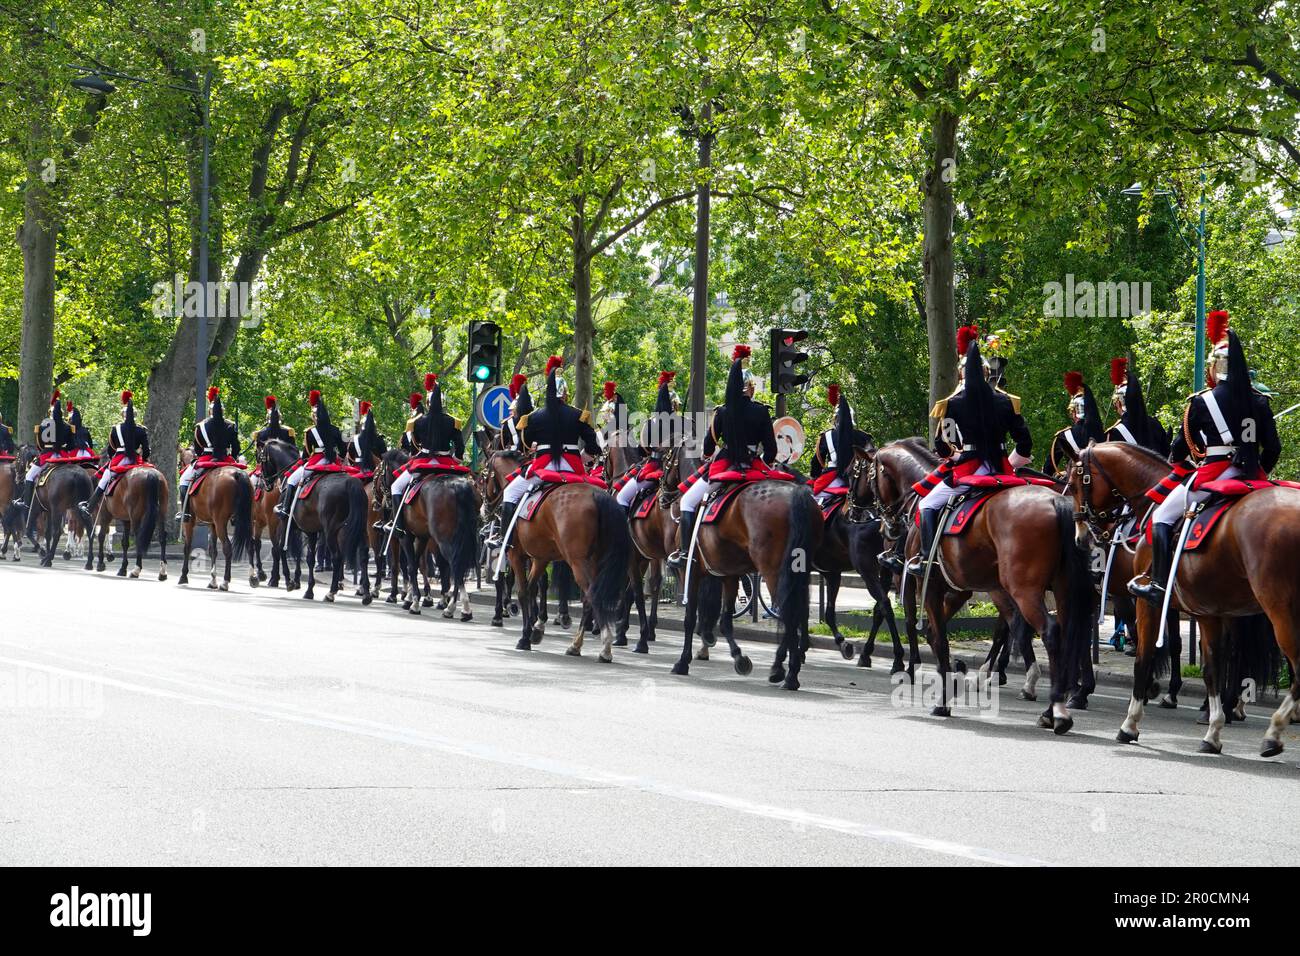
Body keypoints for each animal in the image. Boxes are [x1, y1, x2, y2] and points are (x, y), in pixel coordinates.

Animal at [178, 447, 253, 590]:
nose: (180, 467)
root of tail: (237, 474)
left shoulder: (190, 522)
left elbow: (187, 546)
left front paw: (183, 576)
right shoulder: (212, 523)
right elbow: (213, 549)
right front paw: (212, 580)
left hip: (220, 521)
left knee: (227, 547)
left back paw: (225, 582)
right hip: (244, 520)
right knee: (249, 544)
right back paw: (254, 577)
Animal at [676, 463, 816, 686]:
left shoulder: (691, 573)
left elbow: (690, 618)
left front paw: (683, 662)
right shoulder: (728, 575)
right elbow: (725, 621)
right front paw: (739, 659)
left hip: (774, 573)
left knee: (789, 614)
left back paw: (786, 672)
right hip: (798, 573)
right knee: (798, 611)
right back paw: (788, 668)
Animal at [873, 437, 1097, 728]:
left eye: (869, 473)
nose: (886, 529)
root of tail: (1056, 501)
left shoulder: (926, 585)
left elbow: (930, 632)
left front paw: (941, 695)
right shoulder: (961, 591)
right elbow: (936, 632)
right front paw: (956, 673)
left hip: (1023, 590)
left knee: (1049, 631)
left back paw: (1056, 705)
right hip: (1062, 589)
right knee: (1068, 635)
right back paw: (1053, 705)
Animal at [1066, 439, 1300, 754]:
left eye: (1075, 482)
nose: (1083, 538)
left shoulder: (1140, 600)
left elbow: (1140, 652)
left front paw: (1125, 715)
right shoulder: (1199, 608)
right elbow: (1199, 658)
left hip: (1275, 607)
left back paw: (1268, 729)